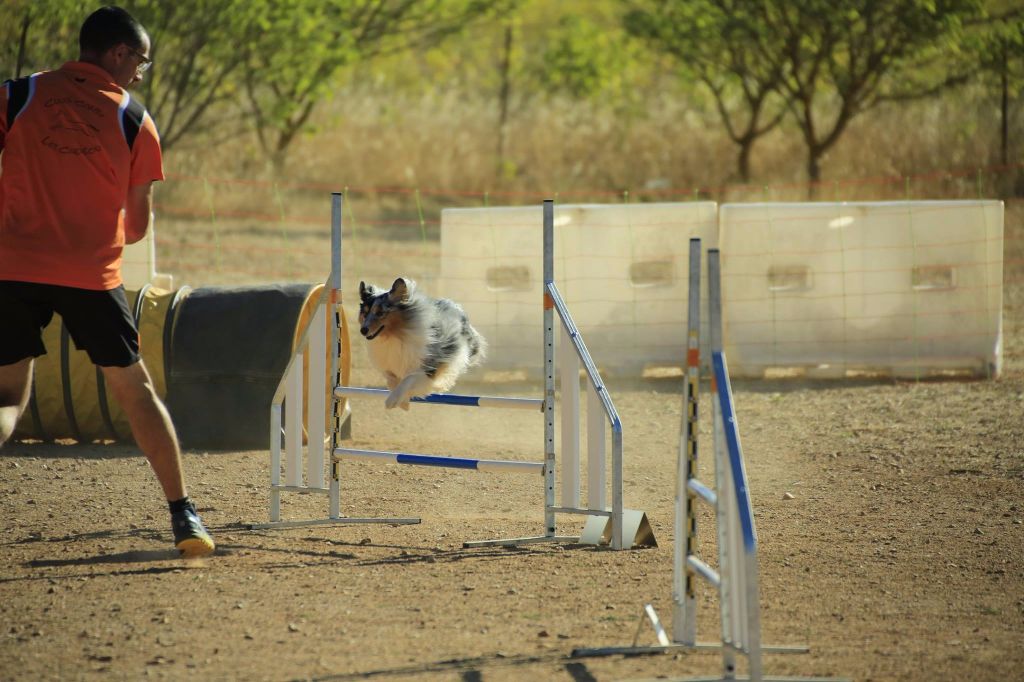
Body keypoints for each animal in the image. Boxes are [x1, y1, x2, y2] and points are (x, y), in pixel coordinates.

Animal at [360, 276, 487, 409]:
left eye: (380, 313)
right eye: (365, 313)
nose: (363, 330)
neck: (396, 336)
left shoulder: (427, 369)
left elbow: (408, 380)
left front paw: (393, 400)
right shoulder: (389, 366)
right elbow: (391, 381)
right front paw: (403, 403)